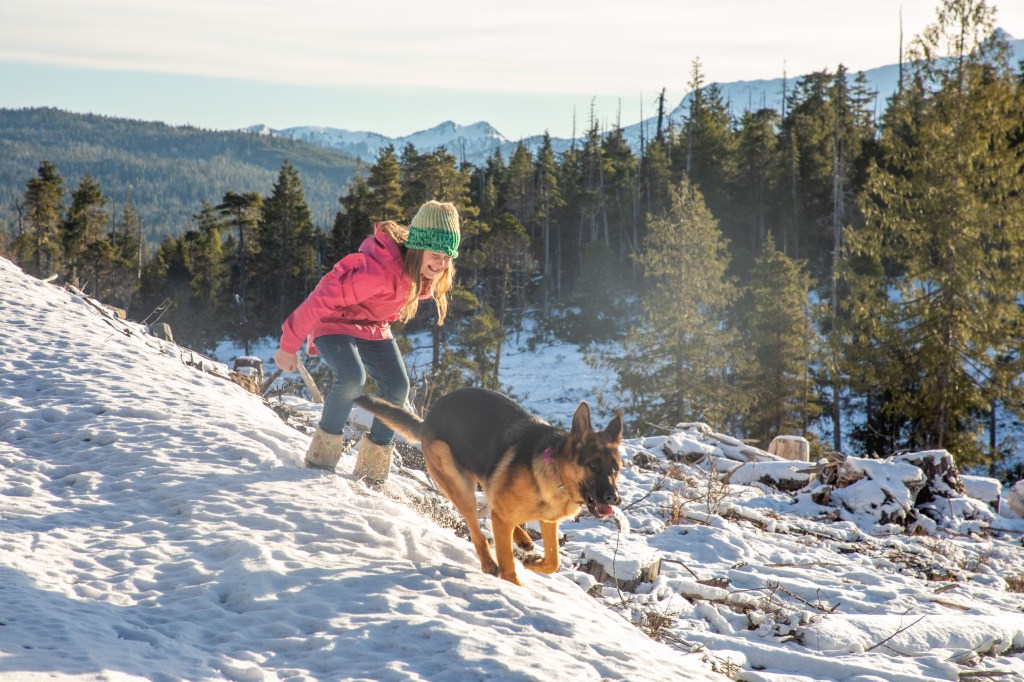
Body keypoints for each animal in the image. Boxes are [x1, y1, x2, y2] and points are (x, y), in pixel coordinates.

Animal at [354, 387, 623, 585]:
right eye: (593, 465)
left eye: (616, 469)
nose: (614, 499)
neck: (557, 475)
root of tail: (428, 418)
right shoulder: (504, 519)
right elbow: (507, 561)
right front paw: (513, 585)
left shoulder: (548, 521)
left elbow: (553, 561)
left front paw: (532, 563)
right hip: (461, 487)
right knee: (477, 531)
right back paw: (488, 563)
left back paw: (522, 538)